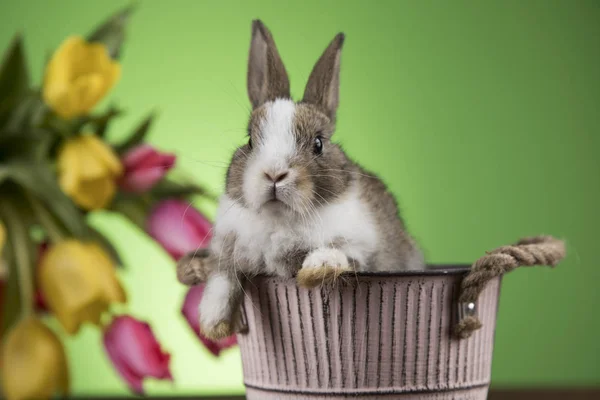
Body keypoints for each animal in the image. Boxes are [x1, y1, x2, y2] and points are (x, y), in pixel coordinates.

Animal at [176, 19, 424, 340]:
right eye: (250, 140)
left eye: (318, 143)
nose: (274, 174)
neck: (280, 220)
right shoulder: (229, 252)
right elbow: (223, 279)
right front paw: (213, 324)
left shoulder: (361, 248)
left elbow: (340, 254)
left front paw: (316, 268)